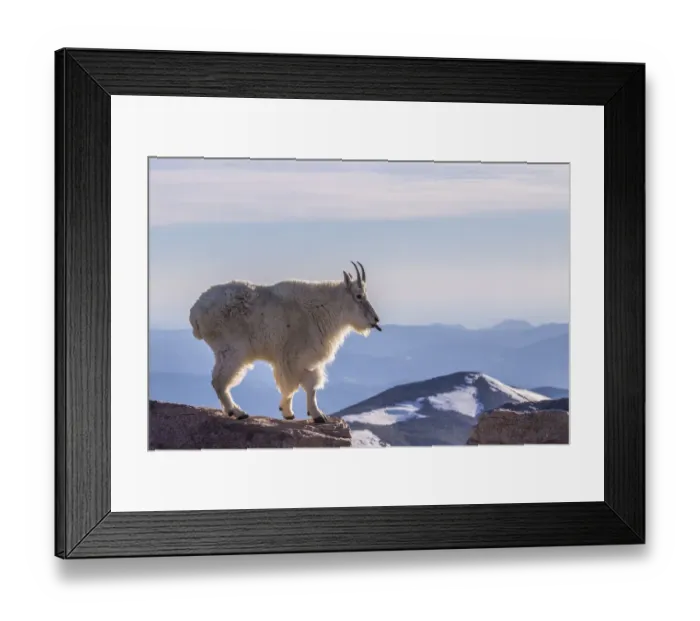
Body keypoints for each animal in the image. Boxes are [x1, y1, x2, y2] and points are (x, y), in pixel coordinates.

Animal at [189, 262, 382, 423]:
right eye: (359, 296)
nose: (375, 319)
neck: (322, 309)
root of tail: (195, 313)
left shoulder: (299, 360)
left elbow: (307, 384)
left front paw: (297, 413)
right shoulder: (292, 357)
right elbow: (298, 385)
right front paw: (308, 414)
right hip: (232, 351)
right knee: (219, 381)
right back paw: (237, 412)